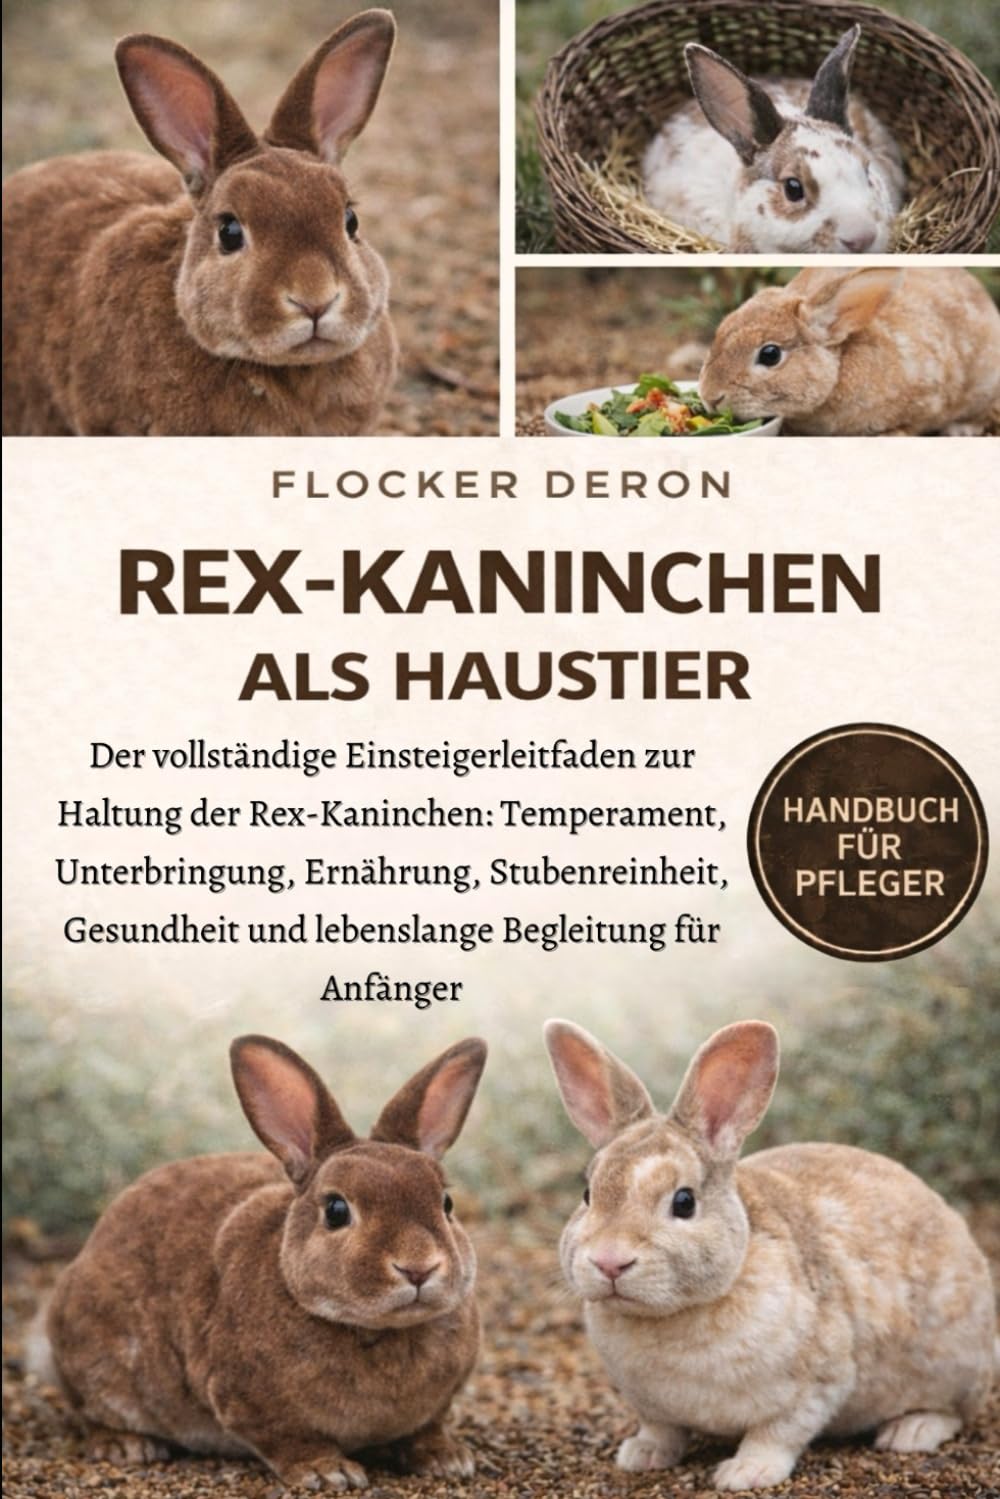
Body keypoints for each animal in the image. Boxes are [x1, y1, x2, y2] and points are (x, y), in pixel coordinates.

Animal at [41, 1033, 487, 1490]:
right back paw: (126, 1446)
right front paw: (327, 1471)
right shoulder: (249, 1402)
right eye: (336, 1210)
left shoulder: (434, 1409)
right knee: (89, 1412)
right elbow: (288, 1440)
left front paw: (448, 1458)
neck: (377, 1330)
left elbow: (426, 1429)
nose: (418, 1267)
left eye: (446, 1204)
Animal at [544, 1018, 996, 1492]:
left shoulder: (816, 1386)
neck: (676, 1312)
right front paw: (641, 1456)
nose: (609, 1261)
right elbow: (661, 1430)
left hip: (953, 1366)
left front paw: (745, 1473)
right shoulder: (651, 1407)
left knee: (955, 1411)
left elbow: (777, 1434)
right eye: (587, 1194)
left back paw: (911, 1431)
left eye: (684, 1202)